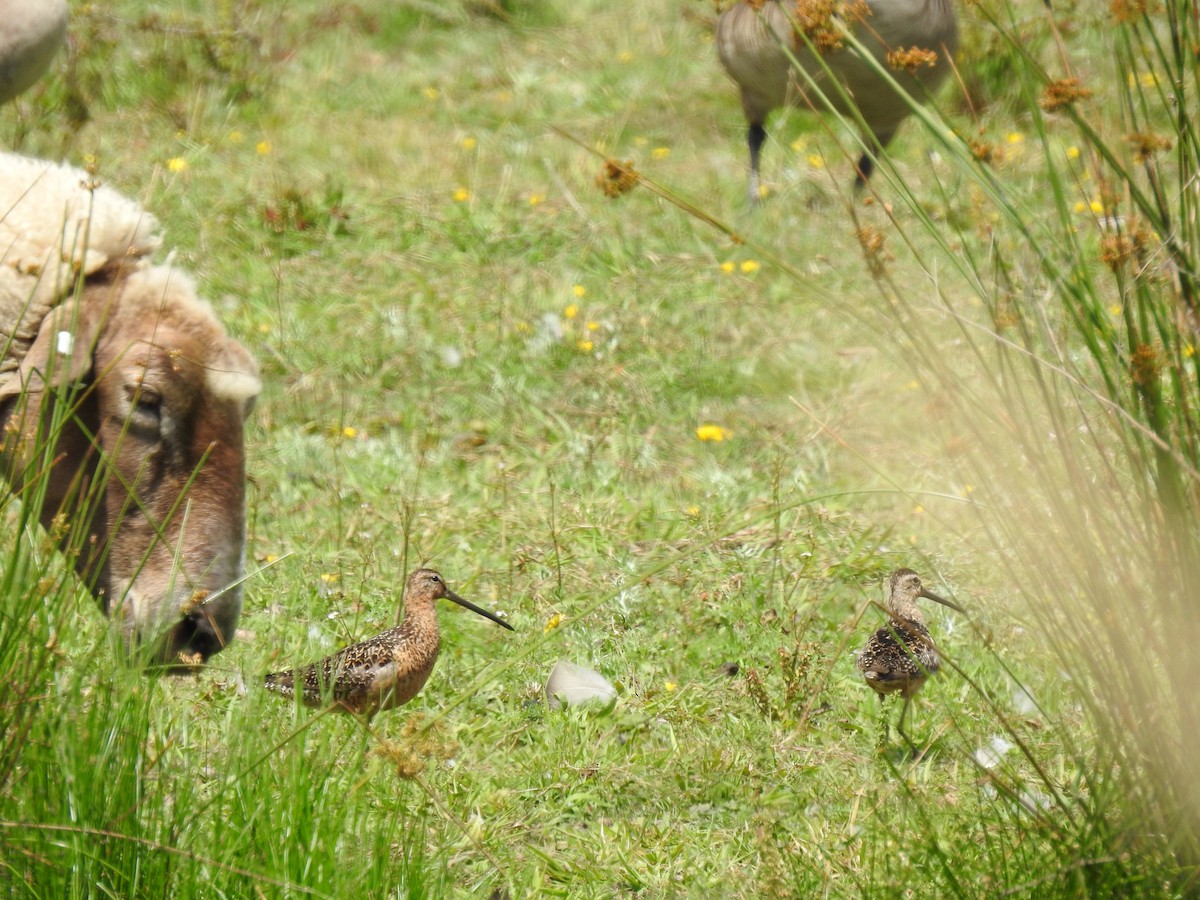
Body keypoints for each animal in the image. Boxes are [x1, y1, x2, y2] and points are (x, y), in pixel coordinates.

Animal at [715, 0, 960, 200]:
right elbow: (756, 138)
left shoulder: (887, 116)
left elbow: (866, 164)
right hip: (757, 91)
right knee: (756, 136)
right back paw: (753, 198)